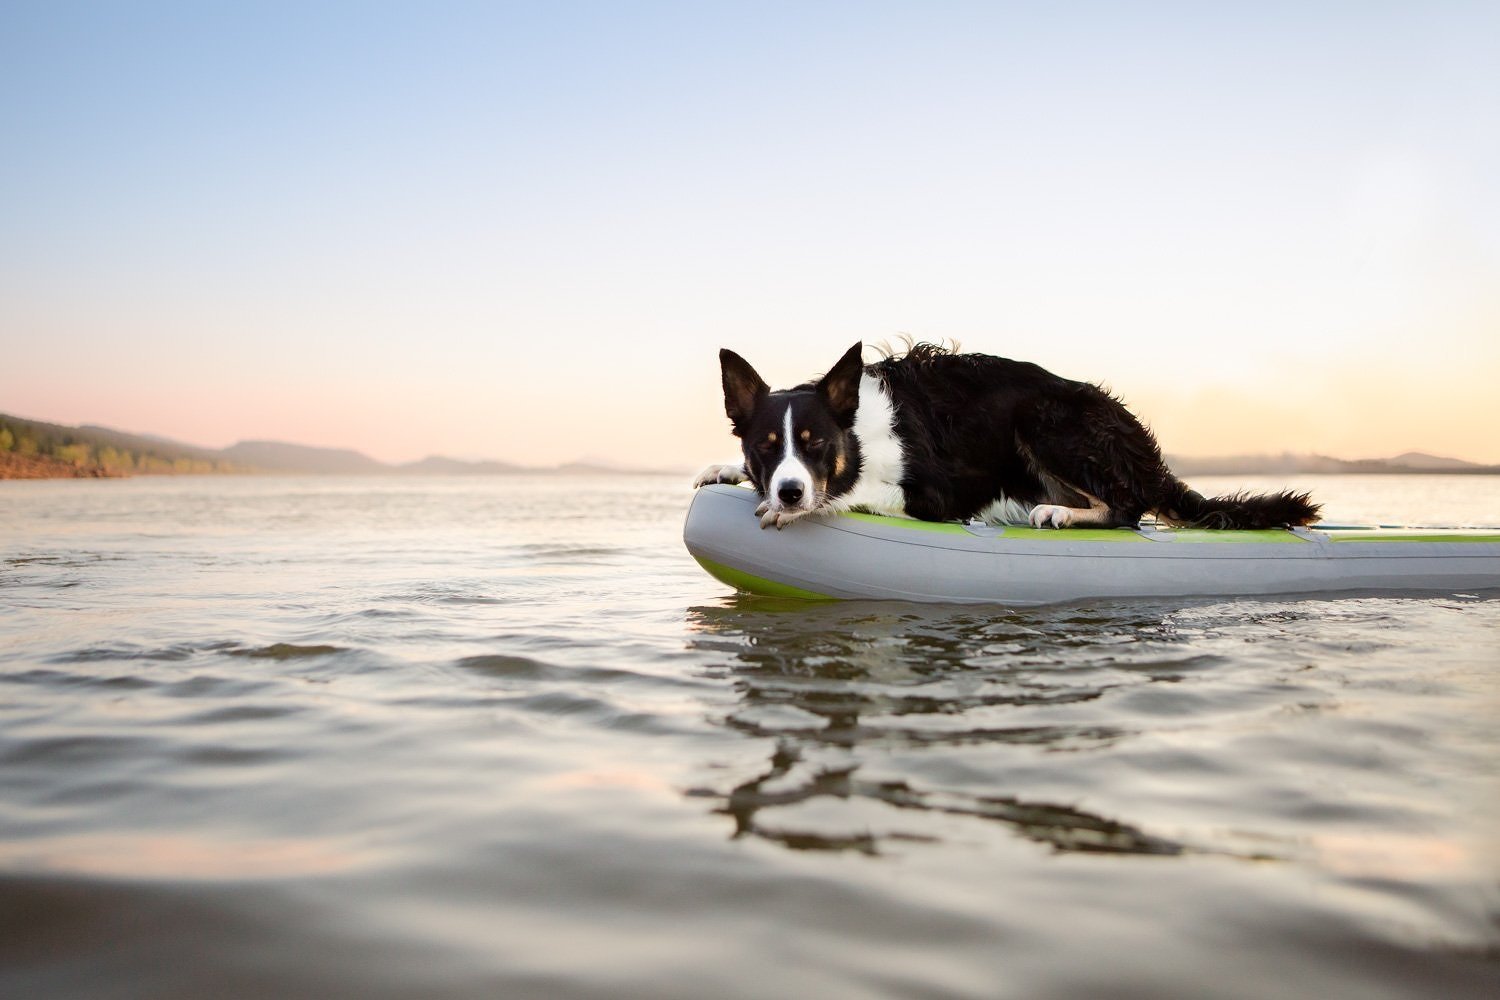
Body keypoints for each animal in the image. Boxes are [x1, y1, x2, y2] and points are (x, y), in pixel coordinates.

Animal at [696, 341, 1320, 530]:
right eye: (765, 448)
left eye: (817, 443)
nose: (789, 492)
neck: (860, 436)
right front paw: (724, 467)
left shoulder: (941, 492)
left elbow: (860, 492)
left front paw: (803, 506)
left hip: (1045, 419)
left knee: (1127, 508)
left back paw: (1064, 512)